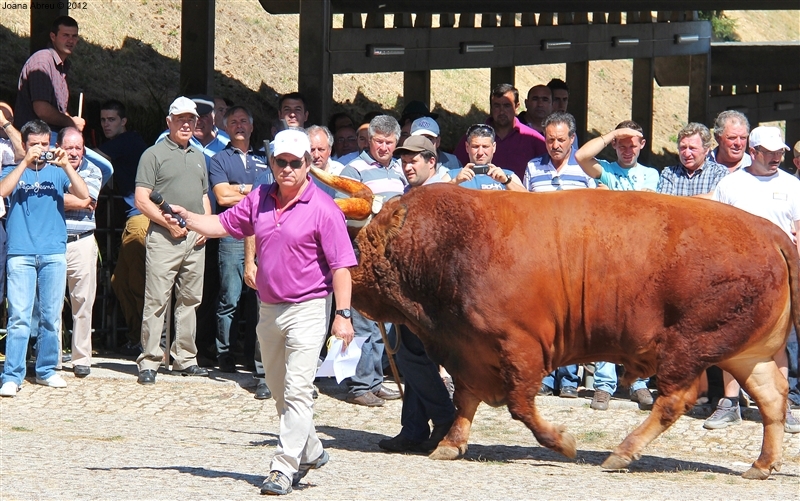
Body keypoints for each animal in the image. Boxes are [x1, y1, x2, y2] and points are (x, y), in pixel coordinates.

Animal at [316, 169, 796, 480]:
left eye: (345, 238)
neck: (449, 241)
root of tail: (769, 232)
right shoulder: (468, 347)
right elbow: (466, 398)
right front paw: (450, 444)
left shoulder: (518, 344)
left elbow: (520, 404)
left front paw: (563, 442)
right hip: (745, 353)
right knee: (773, 397)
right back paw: (761, 465)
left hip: (690, 346)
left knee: (675, 398)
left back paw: (622, 453)